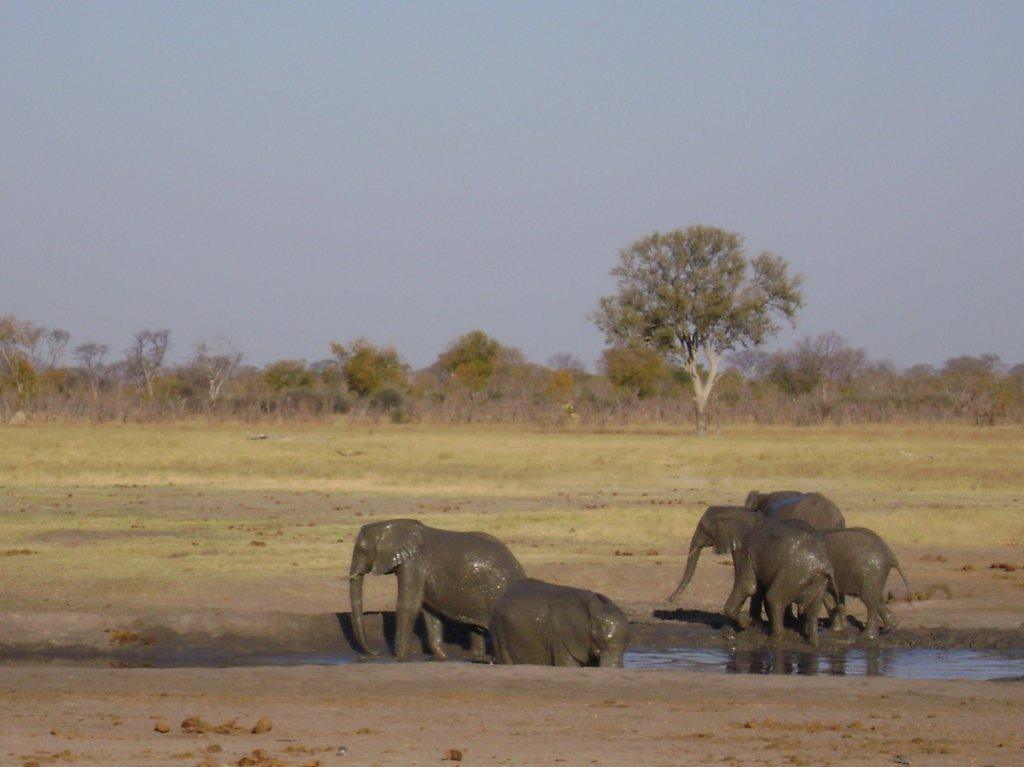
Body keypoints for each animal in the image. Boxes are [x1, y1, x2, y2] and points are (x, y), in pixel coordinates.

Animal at [348, 519, 525, 662]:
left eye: (362, 549)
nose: (375, 653)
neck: (392, 525)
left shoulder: (414, 563)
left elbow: (409, 606)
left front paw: (400, 659)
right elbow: (430, 611)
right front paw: (440, 658)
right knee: (476, 627)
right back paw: (478, 658)